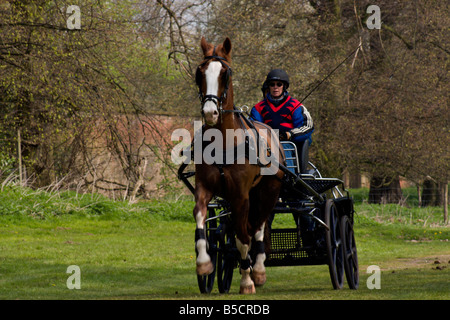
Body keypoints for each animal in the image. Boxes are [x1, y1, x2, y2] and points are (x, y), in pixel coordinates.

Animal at [193, 36, 284, 294]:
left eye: (225, 74)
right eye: (200, 72)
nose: (210, 112)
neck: (223, 142)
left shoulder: (240, 195)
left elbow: (243, 238)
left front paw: (247, 280)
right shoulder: (205, 187)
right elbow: (200, 218)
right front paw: (204, 263)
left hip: (268, 192)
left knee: (258, 227)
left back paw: (259, 270)